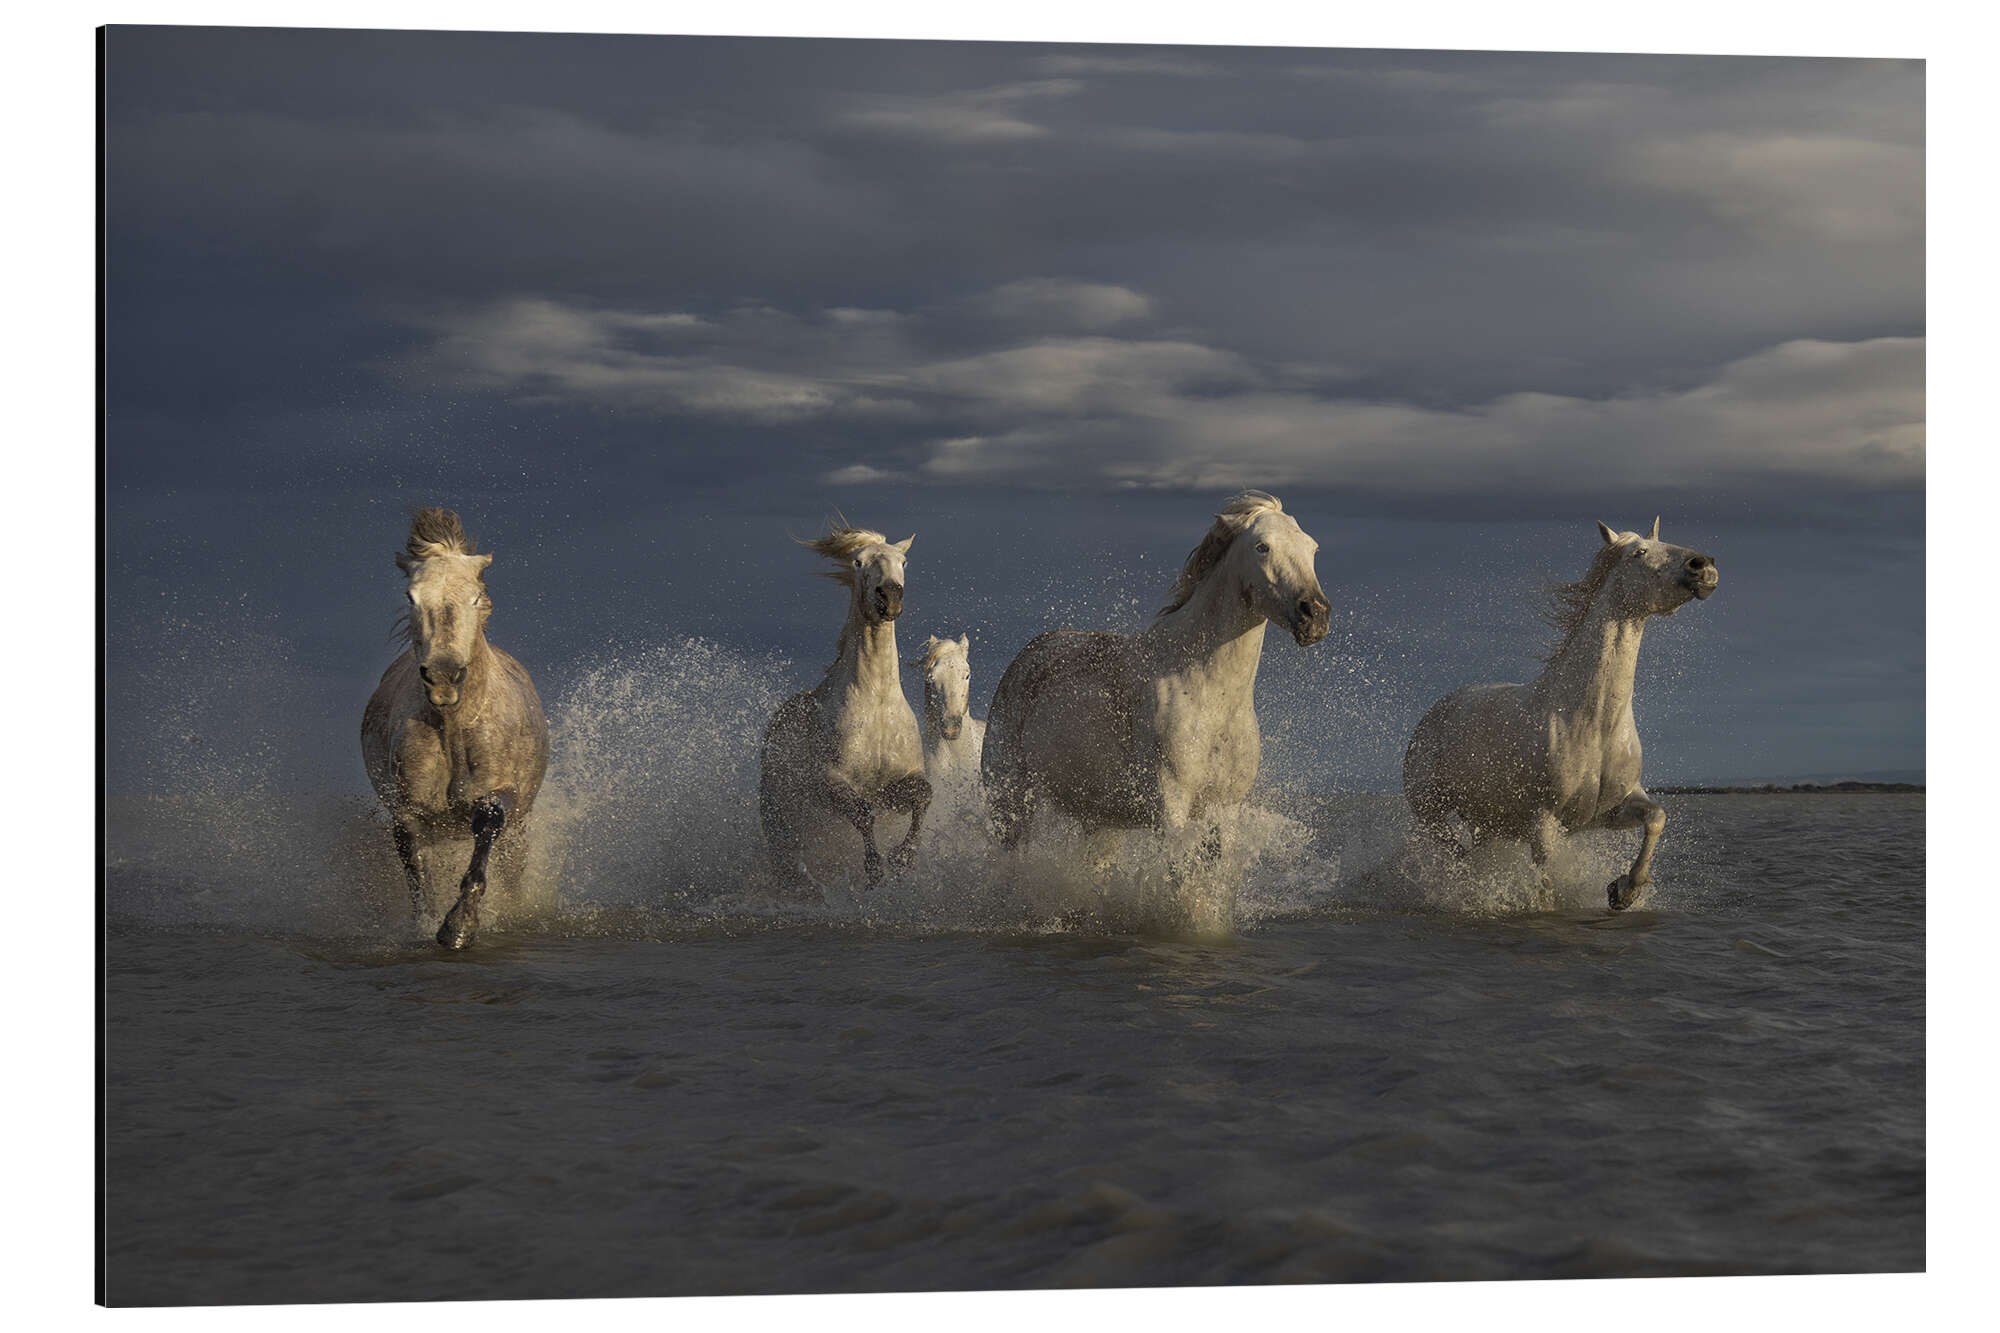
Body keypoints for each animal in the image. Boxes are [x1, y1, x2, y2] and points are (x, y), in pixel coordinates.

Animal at [360, 508, 549, 949]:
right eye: (411, 596)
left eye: (475, 597)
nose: (444, 677)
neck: (454, 728)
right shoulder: (407, 810)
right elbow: (417, 873)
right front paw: (429, 923)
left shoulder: (500, 795)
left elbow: (487, 831)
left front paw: (458, 927)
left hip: (520, 827)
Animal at [759, 521, 932, 897]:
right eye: (858, 562)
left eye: (903, 562)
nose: (889, 598)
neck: (876, 704)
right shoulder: (832, 784)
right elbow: (863, 814)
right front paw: (874, 871)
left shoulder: (894, 788)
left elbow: (923, 797)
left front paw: (903, 859)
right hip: (781, 818)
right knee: (788, 856)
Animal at [981, 491, 1329, 906]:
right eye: (1263, 547)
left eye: (1312, 547)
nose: (1315, 616)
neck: (1211, 696)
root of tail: (1028, 653)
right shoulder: (1172, 806)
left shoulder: (1223, 810)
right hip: (1011, 803)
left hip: (1102, 824)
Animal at [1402, 518, 1719, 912]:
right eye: (1639, 553)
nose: (1703, 565)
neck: (1593, 722)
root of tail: (1437, 710)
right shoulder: (1544, 823)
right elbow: (1547, 887)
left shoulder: (1611, 810)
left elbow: (1656, 818)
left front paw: (1624, 891)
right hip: (1430, 812)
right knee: (1456, 853)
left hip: (1488, 822)